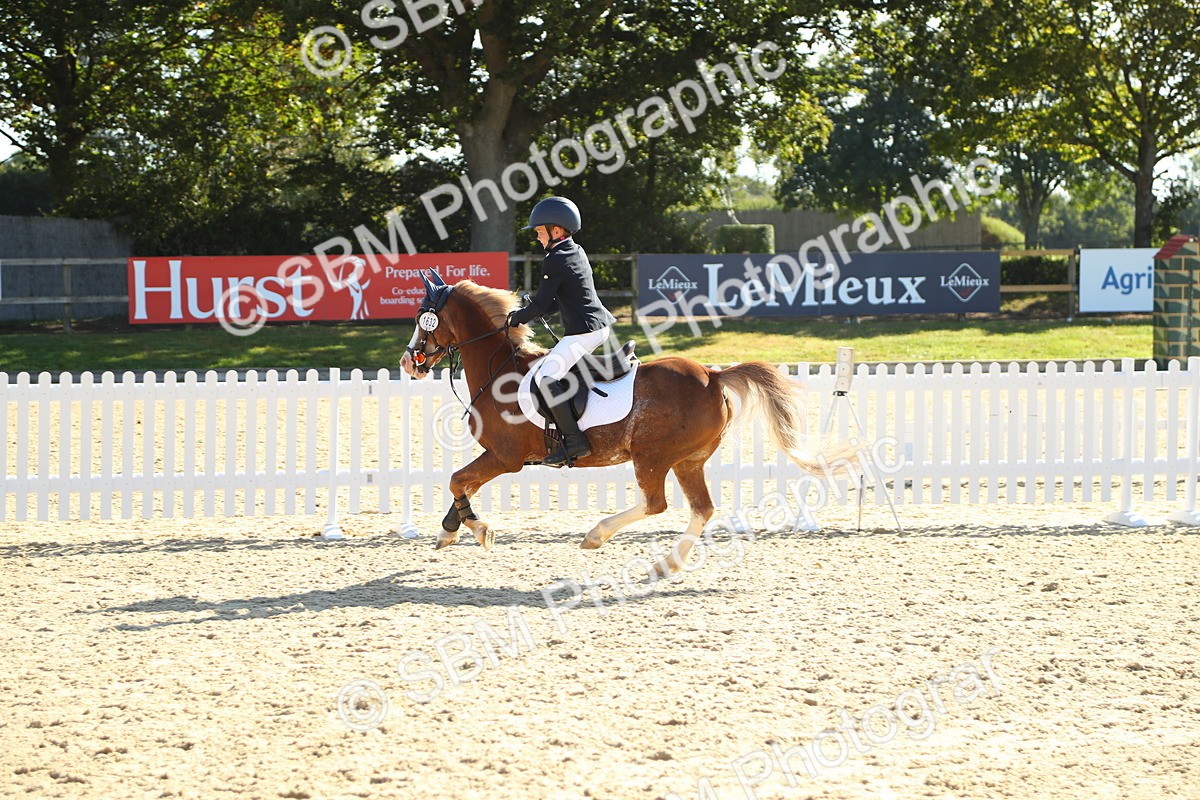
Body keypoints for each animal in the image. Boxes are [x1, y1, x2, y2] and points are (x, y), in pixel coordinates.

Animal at [399, 272, 848, 576]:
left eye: (424, 318)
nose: (408, 362)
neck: (499, 369)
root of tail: (712, 374)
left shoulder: (505, 457)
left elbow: (457, 479)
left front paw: (479, 530)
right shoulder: (498, 456)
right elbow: (462, 483)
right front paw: (449, 530)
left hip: (652, 456)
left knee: (656, 503)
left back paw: (597, 536)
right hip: (688, 460)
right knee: (701, 508)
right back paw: (666, 565)